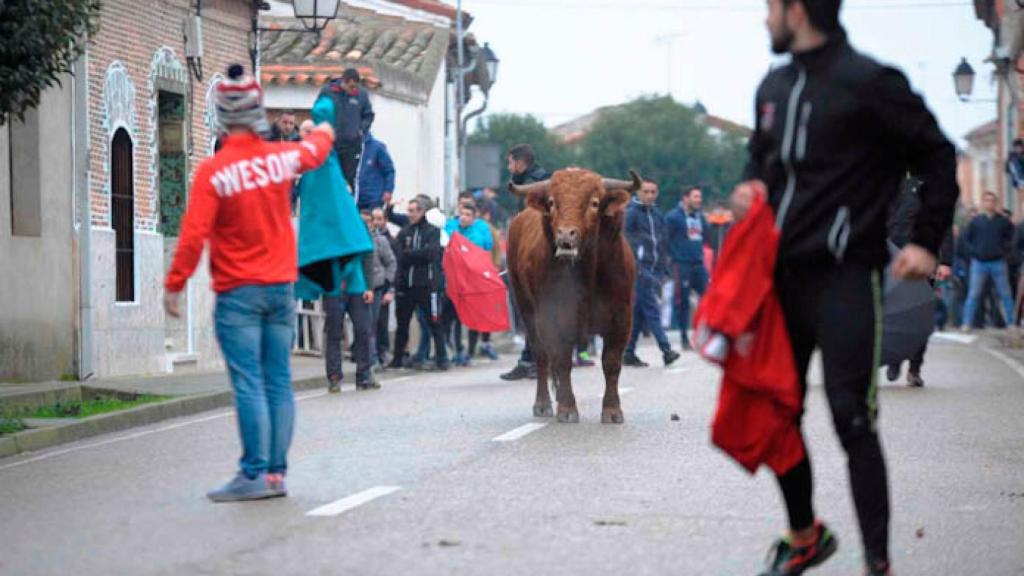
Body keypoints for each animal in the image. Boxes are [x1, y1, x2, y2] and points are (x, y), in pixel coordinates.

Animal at [505, 166, 638, 422]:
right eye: (551, 202)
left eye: (594, 203)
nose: (566, 236)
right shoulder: (553, 320)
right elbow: (561, 360)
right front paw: (567, 409)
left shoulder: (622, 318)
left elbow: (612, 362)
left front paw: (612, 411)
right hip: (526, 312)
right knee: (541, 356)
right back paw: (543, 405)